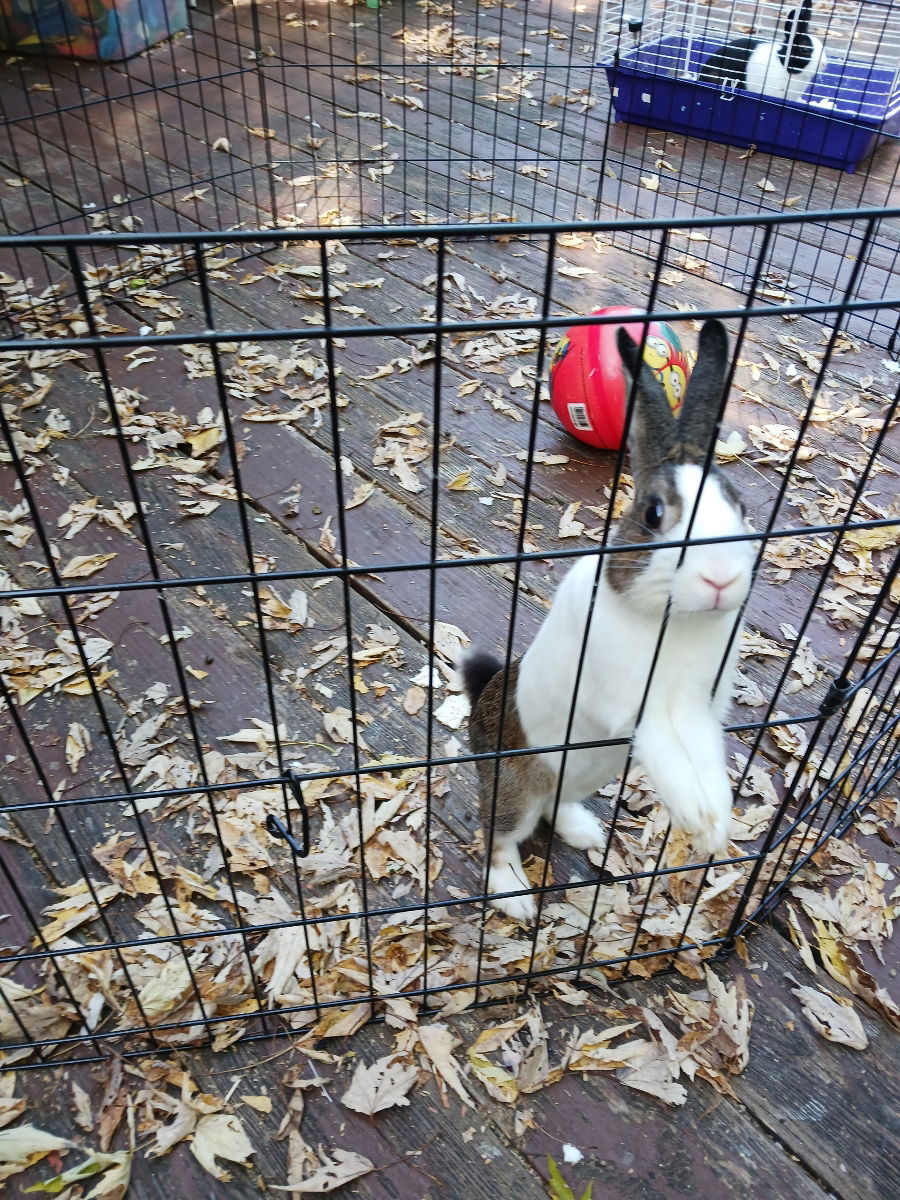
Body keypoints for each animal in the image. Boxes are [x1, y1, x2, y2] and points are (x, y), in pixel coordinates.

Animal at [460, 316, 758, 916]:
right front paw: (698, 818)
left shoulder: (702, 710)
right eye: (654, 513)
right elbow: (667, 754)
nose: (720, 579)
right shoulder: (634, 709)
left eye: (738, 505)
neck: (675, 619)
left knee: (555, 806)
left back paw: (585, 832)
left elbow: (707, 758)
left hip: (574, 776)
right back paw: (515, 898)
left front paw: (715, 826)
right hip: (514, 788)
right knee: (497, 837)